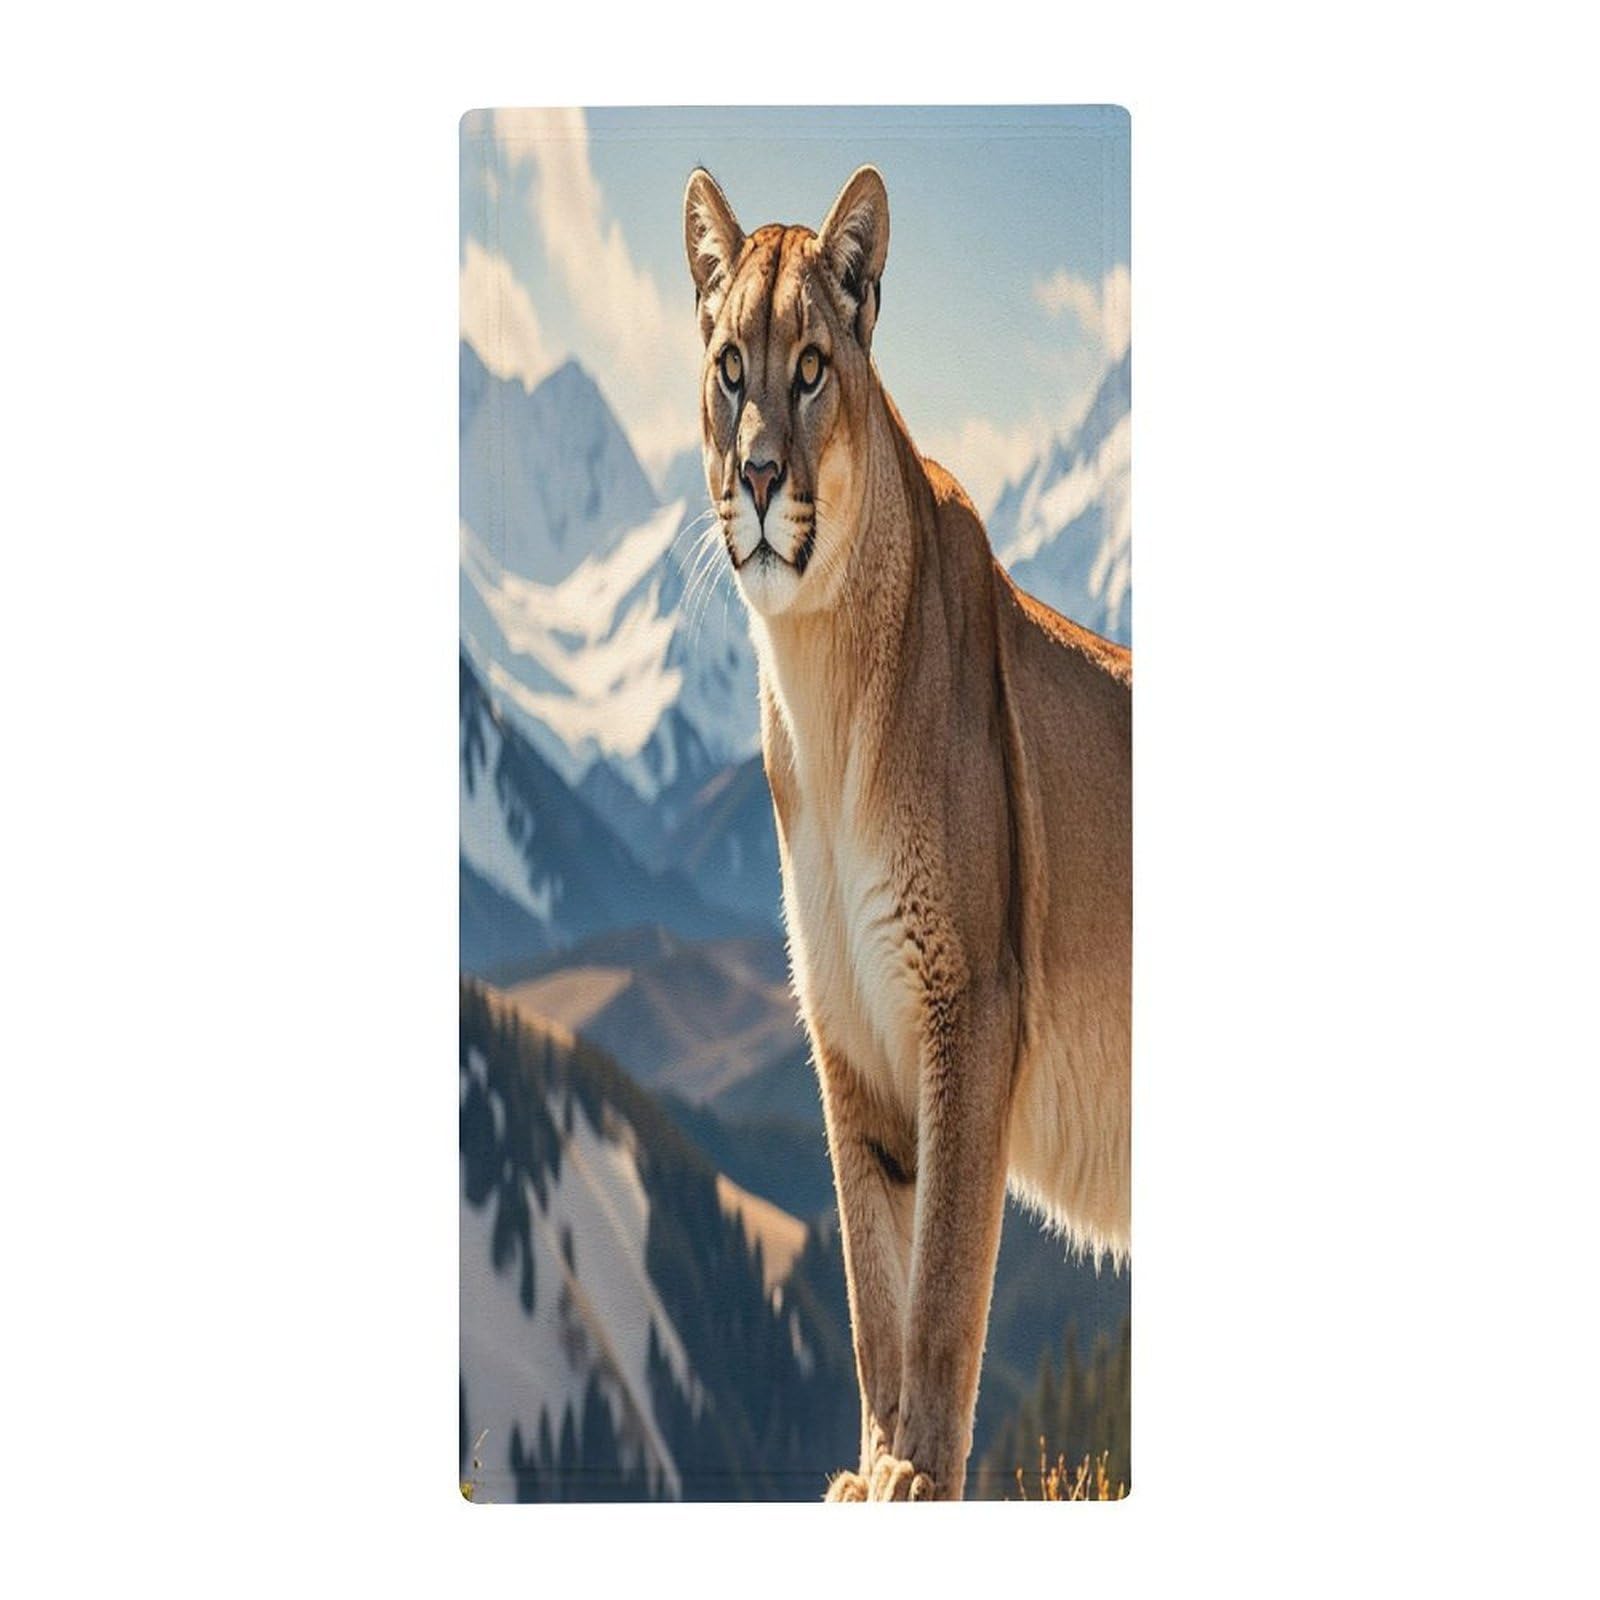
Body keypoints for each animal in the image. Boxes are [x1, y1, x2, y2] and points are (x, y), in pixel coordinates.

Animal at [683, 165, 1131, 1501]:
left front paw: (918, 1476)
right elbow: (870, 1283)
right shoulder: (846, 1021)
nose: (759, 476)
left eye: (811, 367)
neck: (819, 681)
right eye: (730, 368)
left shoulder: (966, 1000)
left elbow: (938, 1279)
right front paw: (874, 1464)